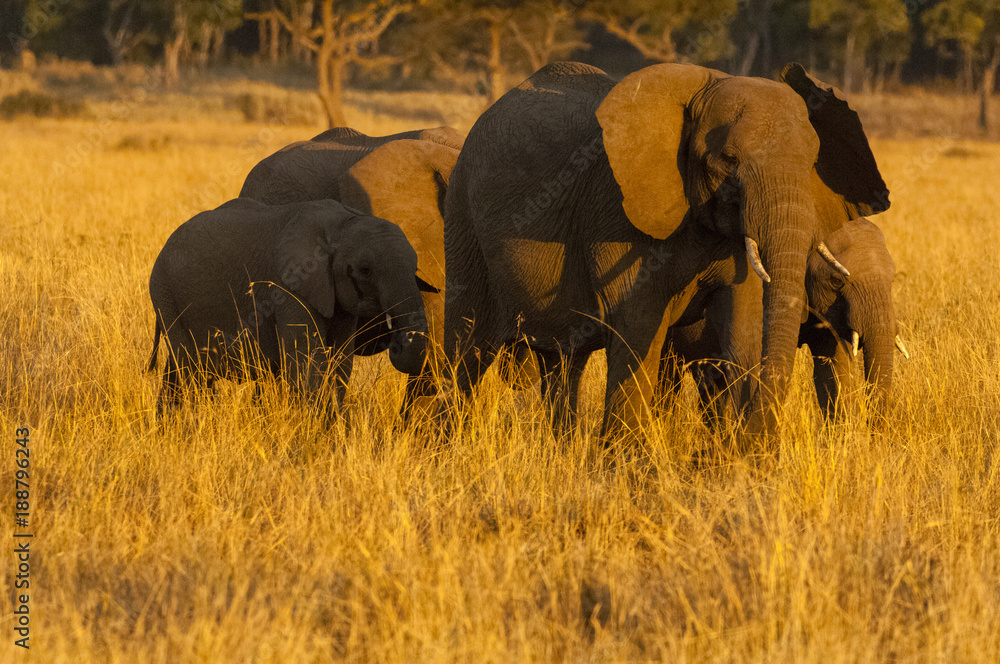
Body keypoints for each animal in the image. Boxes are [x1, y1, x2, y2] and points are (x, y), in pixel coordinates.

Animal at [147, 197, 436, 419]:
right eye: (365, 270)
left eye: (416, 270)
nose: (396, 342)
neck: (342, 223)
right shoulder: (290, 287)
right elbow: (308, 364)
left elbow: (340, 362)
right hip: (166, 296)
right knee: (191, 373)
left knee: (176, 372)